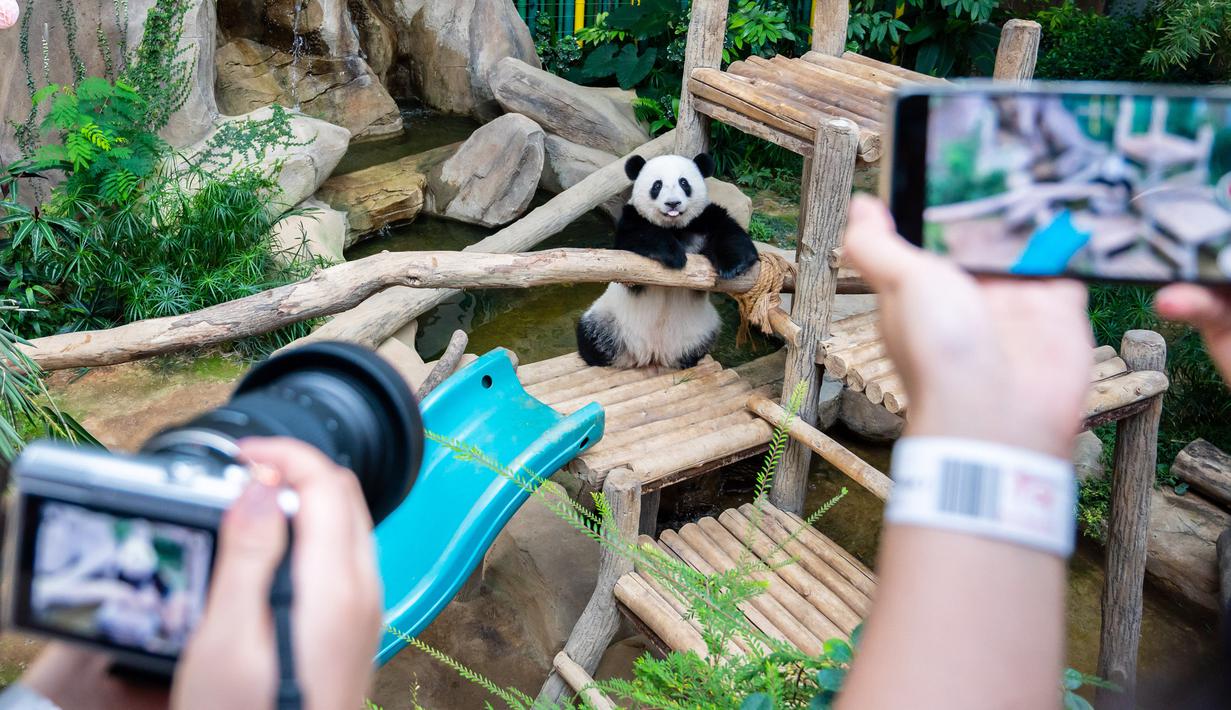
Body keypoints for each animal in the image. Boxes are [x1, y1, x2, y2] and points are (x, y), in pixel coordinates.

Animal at [575, 153, 759, 369]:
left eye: (684, 182)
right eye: (657, 185)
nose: (673, 203)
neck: (674, 226)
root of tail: (654, 353)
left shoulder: (704, 218)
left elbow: (731, 234)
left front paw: (733, 266)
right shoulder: (632, 220)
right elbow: (637, 237)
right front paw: (674, 255)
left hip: (701, 328)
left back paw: (689, 360)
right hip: (610, 319)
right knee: (591, 336)